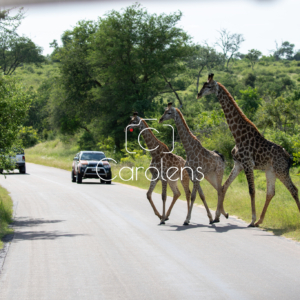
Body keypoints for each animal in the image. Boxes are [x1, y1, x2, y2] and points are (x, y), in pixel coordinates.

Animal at [197, 74, 300, 226]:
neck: (237, 135)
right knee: (271, 192)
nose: (198, 94)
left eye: (208, 86)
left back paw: (257, 221)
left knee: (293, 189)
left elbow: (251, 190)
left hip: (280, 170)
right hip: (270, 170)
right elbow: (224, 186)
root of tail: (288, 156)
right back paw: (260, 221)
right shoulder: (238, 164)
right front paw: (218, 216)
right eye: (203, 85)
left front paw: (251, 219)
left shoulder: (247, 164)